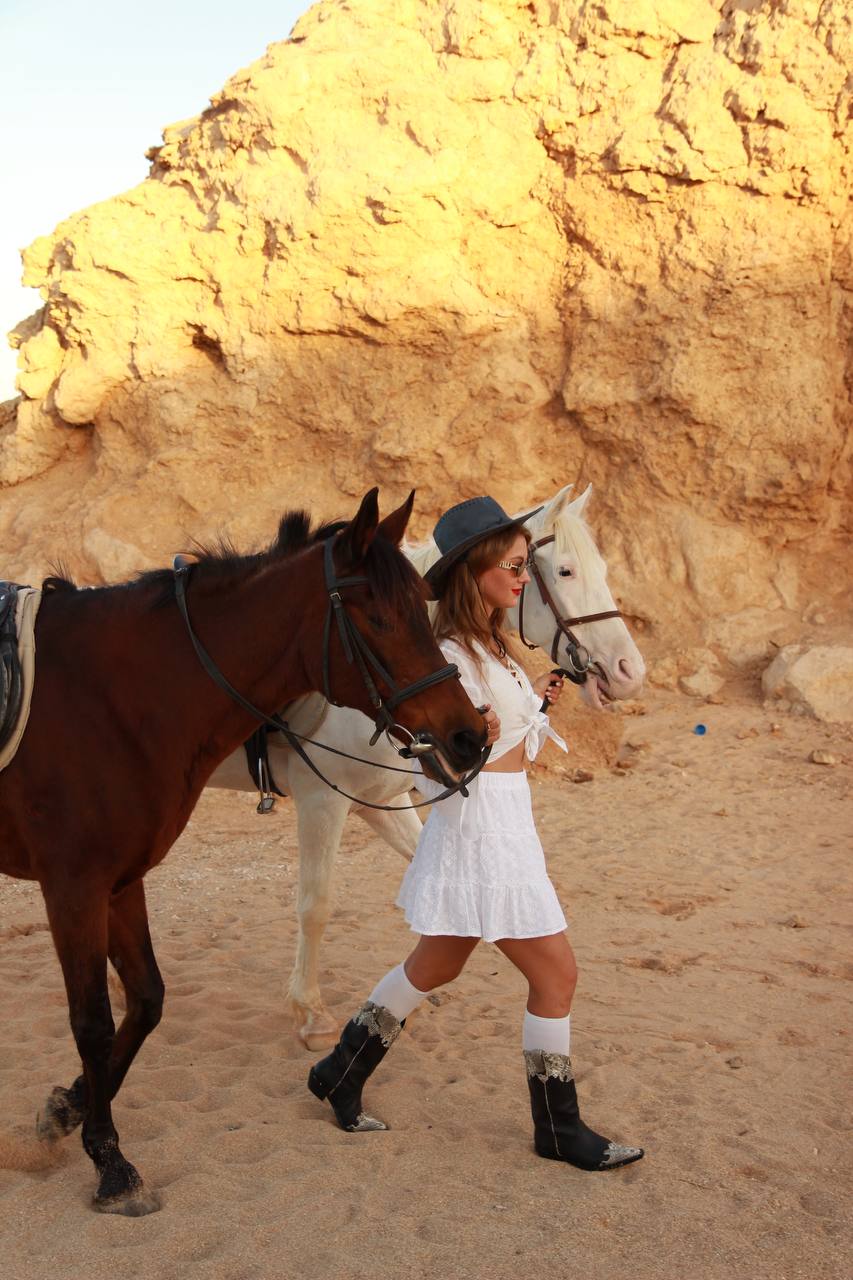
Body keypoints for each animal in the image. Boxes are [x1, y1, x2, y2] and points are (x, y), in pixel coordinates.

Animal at [0, 488, 488, 1216]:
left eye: (425, 611)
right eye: (378, 617)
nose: (468, 736)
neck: (112, 699)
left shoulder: (121, 880)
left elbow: (146, 1000)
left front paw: (69, 1108)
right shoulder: (74, 885)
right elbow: (92, 1020)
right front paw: (111, 1163)